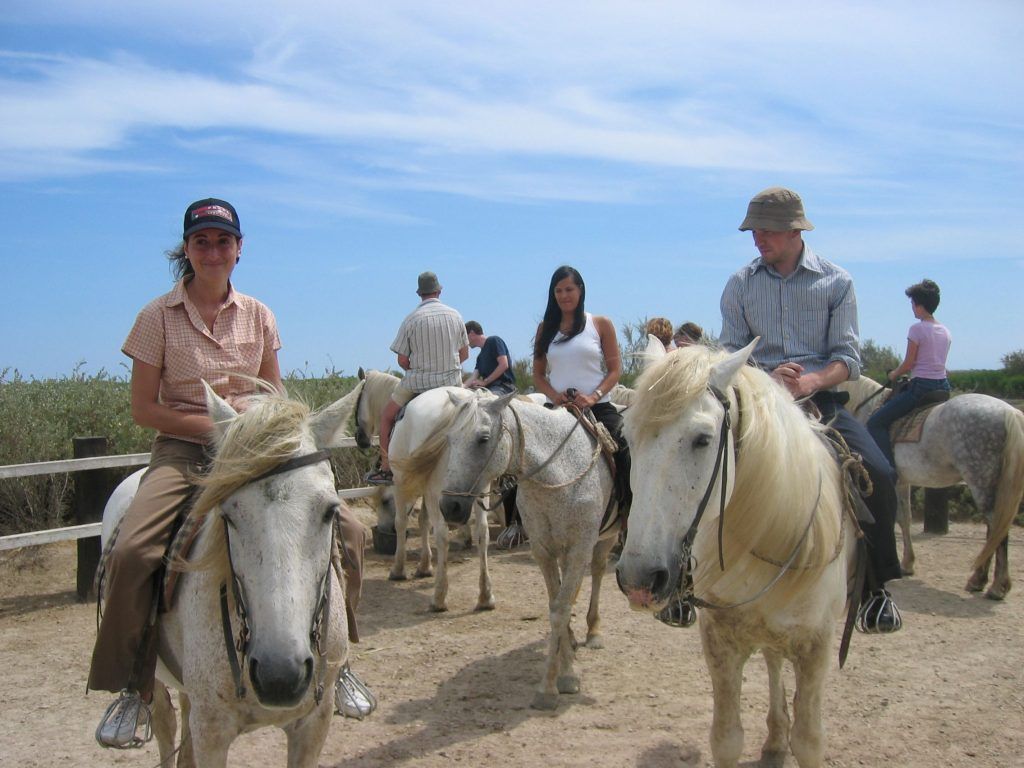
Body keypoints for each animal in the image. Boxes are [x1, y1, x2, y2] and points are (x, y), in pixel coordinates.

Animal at [99, 385, 356, 768]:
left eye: (330, 510)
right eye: (229, 514)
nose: (280, 676)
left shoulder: (314, 725)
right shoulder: (212, 732)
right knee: (164, 722)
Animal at [436, 393, 618, 712]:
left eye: (483, 438)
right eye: (449, 438)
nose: (450, 507)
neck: (558, 473)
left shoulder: (580, 548)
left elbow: (560, 610)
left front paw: (553, 686)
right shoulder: (543, 550)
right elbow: (556, 604)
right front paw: (565, 668)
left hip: (604, 539)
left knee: (596, 571)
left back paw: (594, 631)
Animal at [618, 344, 860, 768]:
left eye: (702, 439)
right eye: (629, 438)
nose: (639, 579)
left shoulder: (817, 645)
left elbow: (809, 741)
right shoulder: (720, 641)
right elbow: (726, 739)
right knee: (773, 662)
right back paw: (775, 738)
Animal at [835, 376, 1019, 598]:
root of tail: (1009, 412)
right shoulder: (902, 482)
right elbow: (905, 518)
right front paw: (907, 563)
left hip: (981, 482)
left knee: (997, 529)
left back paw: (997, 586)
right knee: (994, 529)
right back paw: (980, 580)